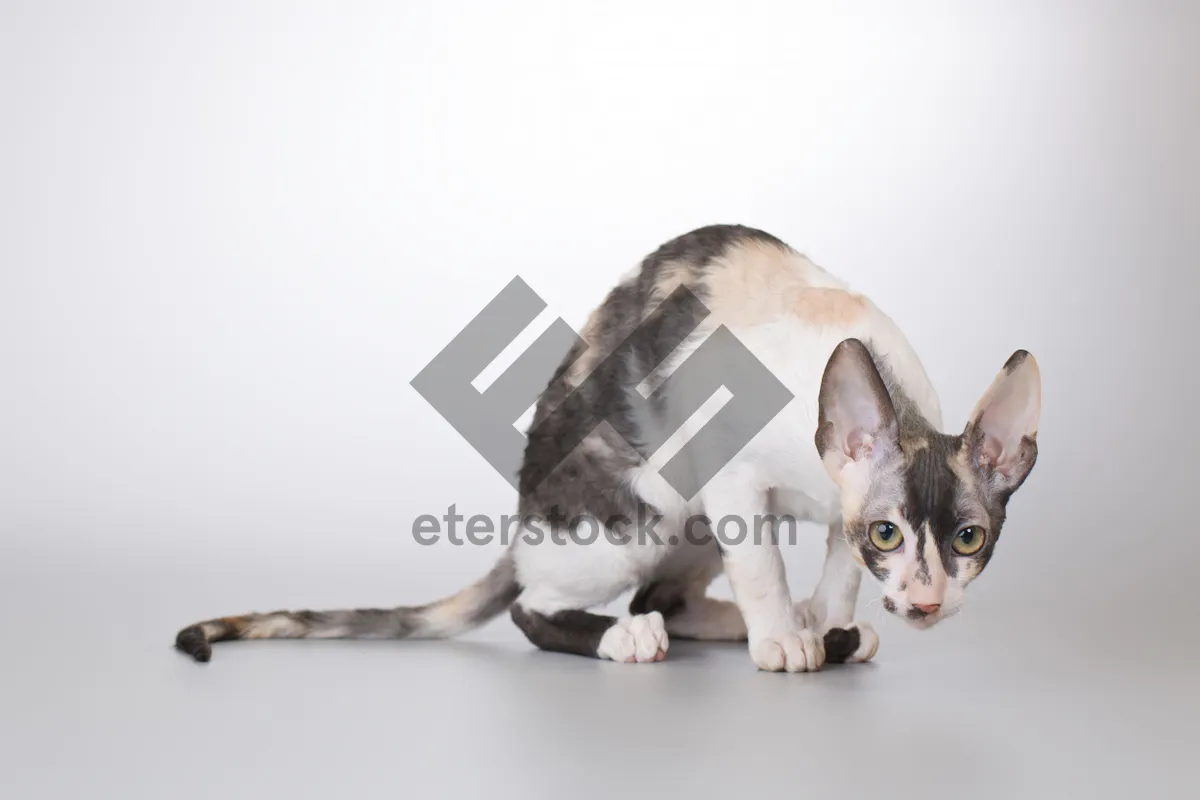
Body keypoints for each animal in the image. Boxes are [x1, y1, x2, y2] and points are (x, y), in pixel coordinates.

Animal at [171, 224, 1041, 671]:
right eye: (889, 533)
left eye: (969, 538)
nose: (925, 602)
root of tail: (523, 518)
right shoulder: (736, 477)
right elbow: (763, 566)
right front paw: (784, 639)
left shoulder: (831, 515)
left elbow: (837, 575)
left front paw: (828, 625)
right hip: (643, 512)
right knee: (536, 605)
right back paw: (638, 636)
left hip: (690, 525)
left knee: (667, 596)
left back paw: (745, 623)